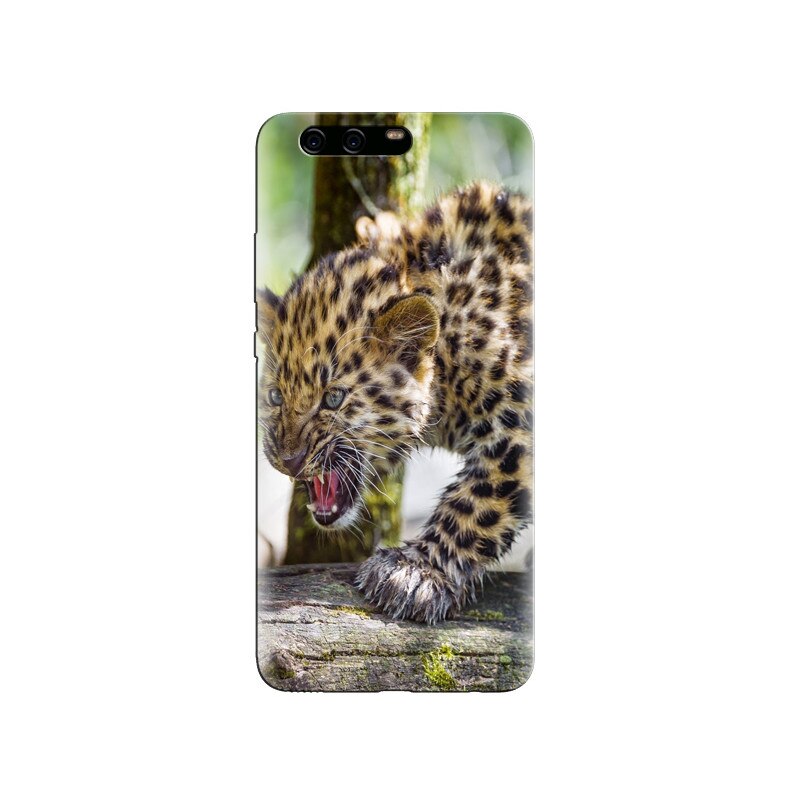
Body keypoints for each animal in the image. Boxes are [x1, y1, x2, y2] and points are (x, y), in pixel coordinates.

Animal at [257, 181, 533, 624]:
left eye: (333, 397)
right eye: (274, 395)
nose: (288, 460)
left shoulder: (520, 427)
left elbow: (479, 501)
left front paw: (416, 572)